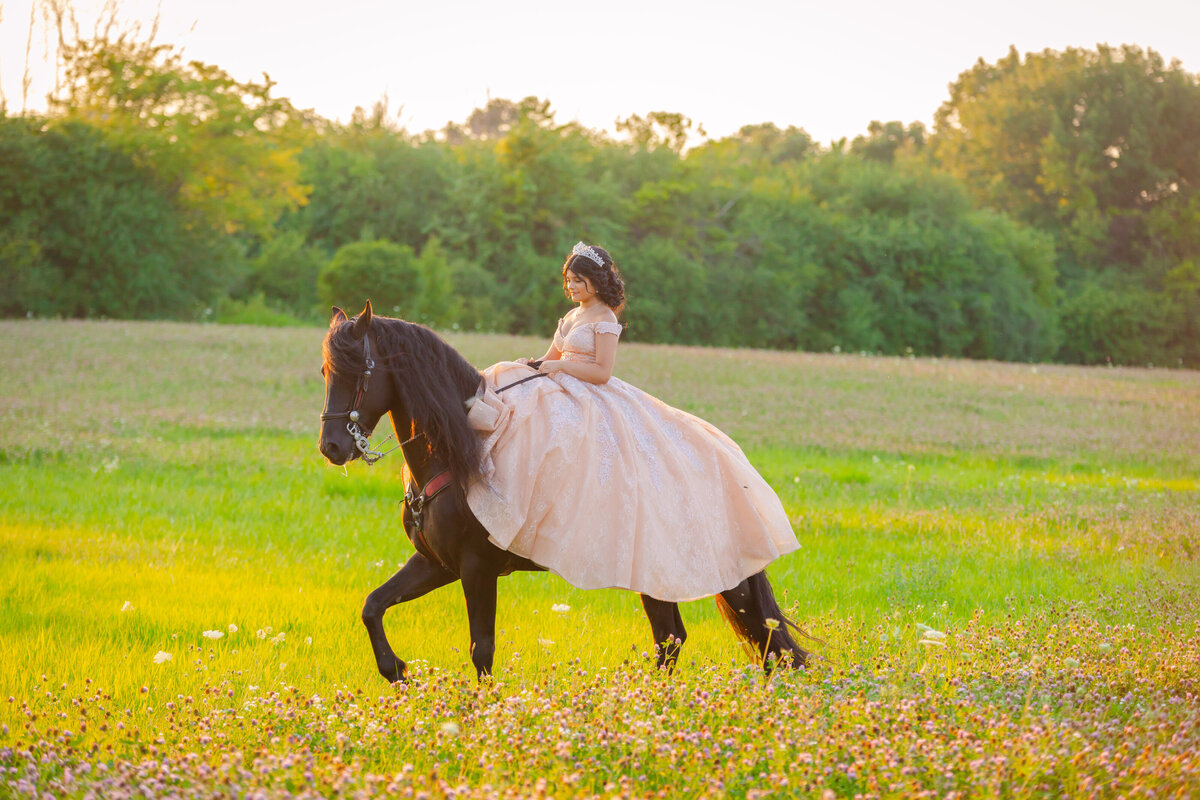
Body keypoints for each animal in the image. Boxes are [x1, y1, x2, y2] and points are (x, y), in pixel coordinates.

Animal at [319, 302, 811, 681]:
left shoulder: (476, 568)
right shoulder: (437, 563)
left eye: (358, 373)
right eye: (326, 370)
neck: (461, 450)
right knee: (675, 640)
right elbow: (372, 605)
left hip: (714, 576)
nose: (332, 447)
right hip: (661, 576)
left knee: (757, 644)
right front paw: (396, 671)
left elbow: (482, 650)